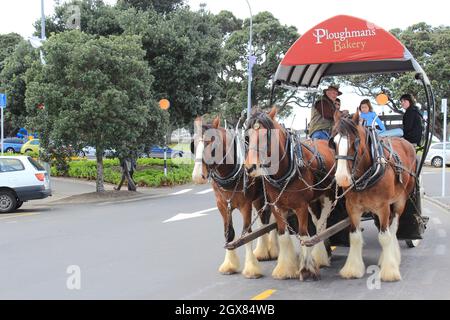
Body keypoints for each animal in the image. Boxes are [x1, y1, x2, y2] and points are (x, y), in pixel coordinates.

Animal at [191, 115, 278, 278]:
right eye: (193, 144)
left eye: (211, 143)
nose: (198, 176)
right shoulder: (223, 205)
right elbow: (229, 235)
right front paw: (229, 265)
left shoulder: (245, 205)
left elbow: (246, 234)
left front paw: (251, 268)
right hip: (258, 199)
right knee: (263, 221)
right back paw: (263, 251)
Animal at [244, 107, 336, 280]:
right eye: (247, 137)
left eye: (266, 136)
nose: (250, 167)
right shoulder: (277, 207)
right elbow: (283, 236)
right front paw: (285, 269)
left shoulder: (301, 206)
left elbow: (304, 234)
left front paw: (306, 268)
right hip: (313, 201)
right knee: (317, 221)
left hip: (328, 196)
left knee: (322, 224)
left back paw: (320, 256)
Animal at [330, 111, 418, 282]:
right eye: (334, 142)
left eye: (355, 142)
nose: (342, 178)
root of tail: (405, 141)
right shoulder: (352, 208)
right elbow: (355, 236)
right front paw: (352, 269)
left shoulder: (383, 207)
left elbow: (385, 236)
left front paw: (389, 271)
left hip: (400, 200)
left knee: (393, 227)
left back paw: (392, 257)